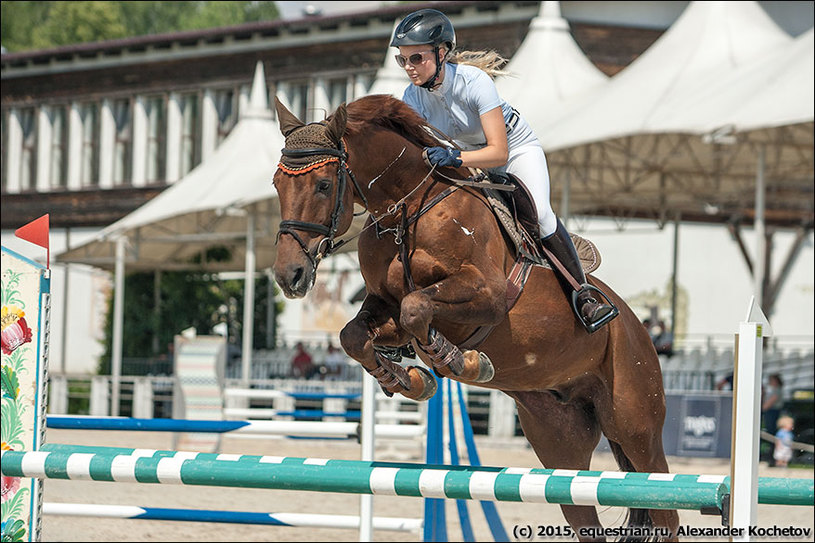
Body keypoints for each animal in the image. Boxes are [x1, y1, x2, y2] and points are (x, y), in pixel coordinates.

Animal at [270, 95, 680, 540]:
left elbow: (417, 308)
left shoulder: (489, 296)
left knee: (665, 507)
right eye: (276, 185)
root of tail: (636, 328)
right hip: (559, 441)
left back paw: (592, 308)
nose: (289, 275)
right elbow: (356, 335)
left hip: (636, 426)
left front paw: (460, 362)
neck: (407, 211)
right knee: (583, 511)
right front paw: (407, 378)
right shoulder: (383, 304)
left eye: (324, 185)